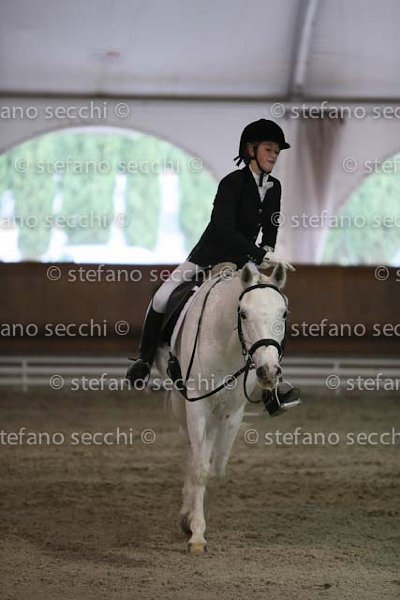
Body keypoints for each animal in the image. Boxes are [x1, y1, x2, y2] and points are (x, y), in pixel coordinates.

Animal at [155, 261, 289, 555]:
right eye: (244, 313)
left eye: (284, 313)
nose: (268, 371)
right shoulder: (197, 406)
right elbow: (200, 468)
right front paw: (196, 534)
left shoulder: (232, 412)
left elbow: (215, 467)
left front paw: (194, 522)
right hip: (182, 406)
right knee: (189, 449)